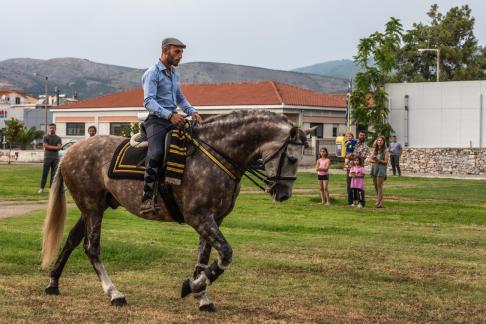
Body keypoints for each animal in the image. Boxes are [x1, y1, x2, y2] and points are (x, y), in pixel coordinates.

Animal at [40, 110, 308, 312]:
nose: (284, 194)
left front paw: (201, 294)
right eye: (292, 158)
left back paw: (53, 283)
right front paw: (192, 287)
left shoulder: (214, 219)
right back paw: (114, 293)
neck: (216, 154)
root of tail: (70, 151)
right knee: (91, 247)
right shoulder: (200, 218)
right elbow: (225, 254)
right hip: (92, 207)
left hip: (94, 207)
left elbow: (203, 258)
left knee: (73, 239)